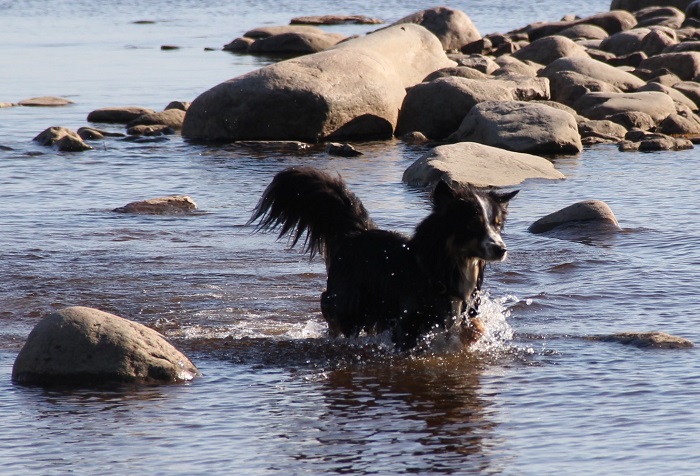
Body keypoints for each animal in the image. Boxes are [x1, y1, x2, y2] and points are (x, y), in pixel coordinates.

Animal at [249, 166, 516, 350]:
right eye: (472, 224)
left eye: (497, 224)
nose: (501, 249)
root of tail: (356, 233)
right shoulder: (407, 323)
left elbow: (474, 327)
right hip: (347, 301)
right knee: (333, 313)